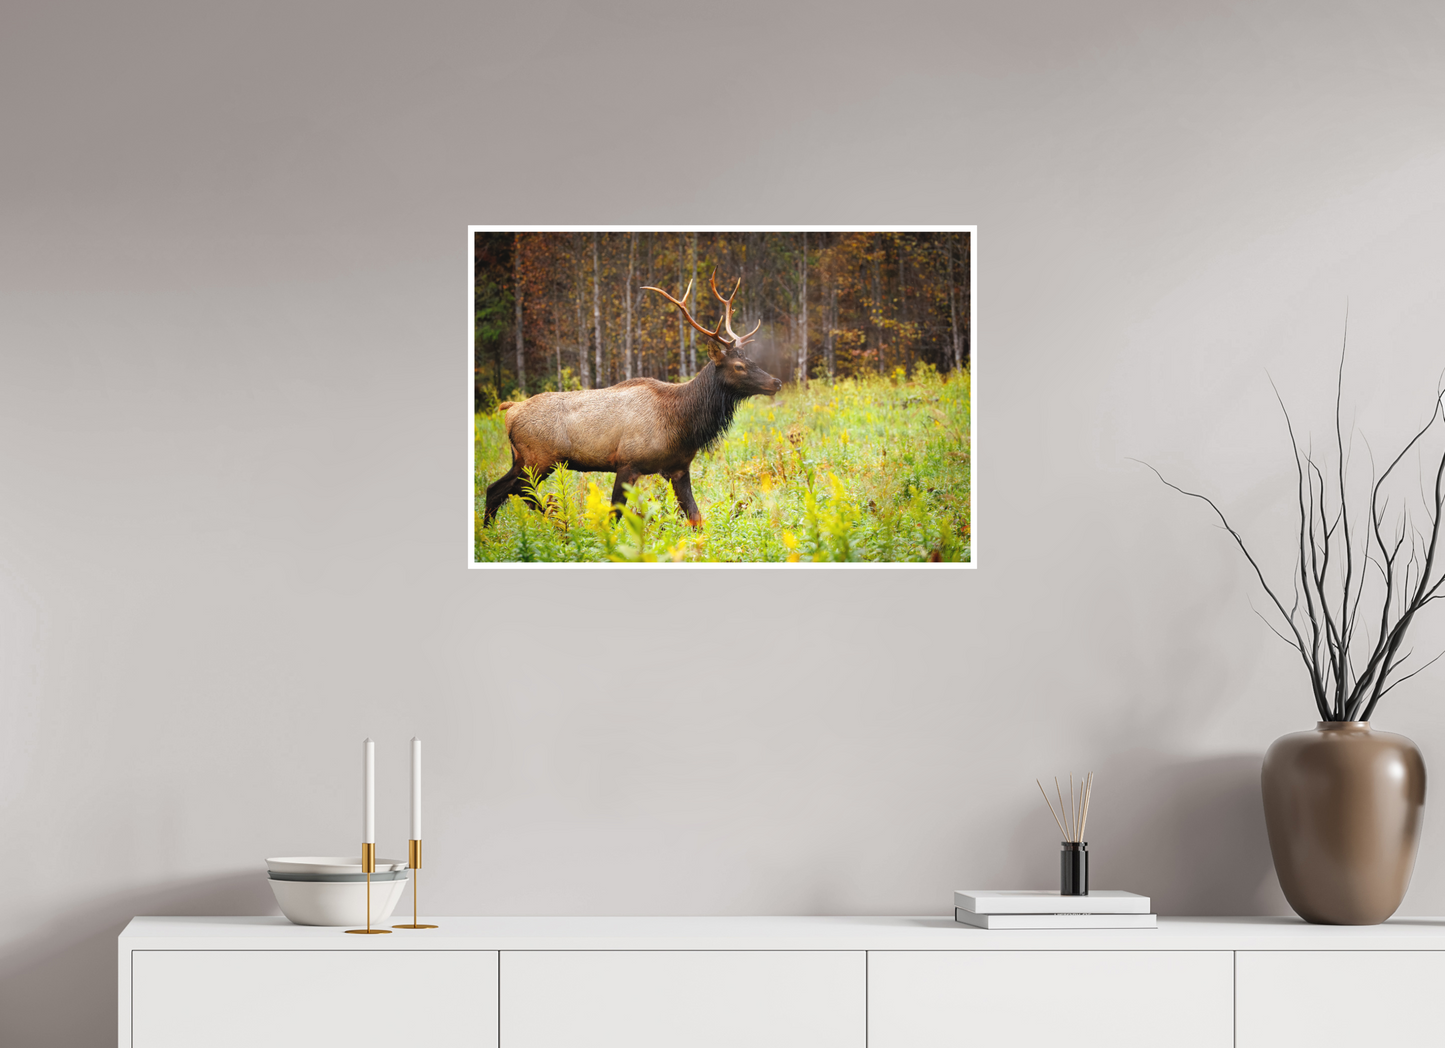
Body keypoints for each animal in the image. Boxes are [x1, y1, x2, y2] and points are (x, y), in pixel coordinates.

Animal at [483, 272, 783, 528]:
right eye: (739, 366)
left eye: (751, 360)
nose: (776, 382)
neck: (683, 424)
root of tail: (510, 410)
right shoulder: (627, 463)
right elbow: (615, 515)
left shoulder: (678, 468)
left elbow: (696, 517)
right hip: (539, 458)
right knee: (516, 491)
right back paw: (553, 526)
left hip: (522, 459)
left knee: (497, 489)